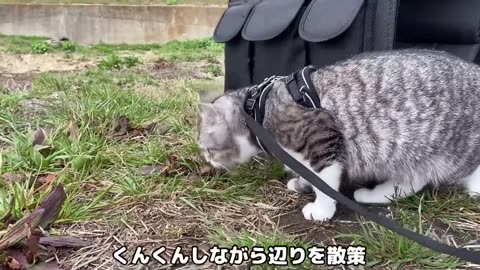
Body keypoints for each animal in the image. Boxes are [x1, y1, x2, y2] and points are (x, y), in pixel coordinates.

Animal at [196, 50, 480, 221]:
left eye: (209, 149)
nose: (209, 162)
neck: (258, 106)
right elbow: (307, 172)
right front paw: (302, 182)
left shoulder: (321, 137)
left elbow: (324, 180)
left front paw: (322, 209)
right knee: (412, 180)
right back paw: (373, 195)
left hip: (448, 149)